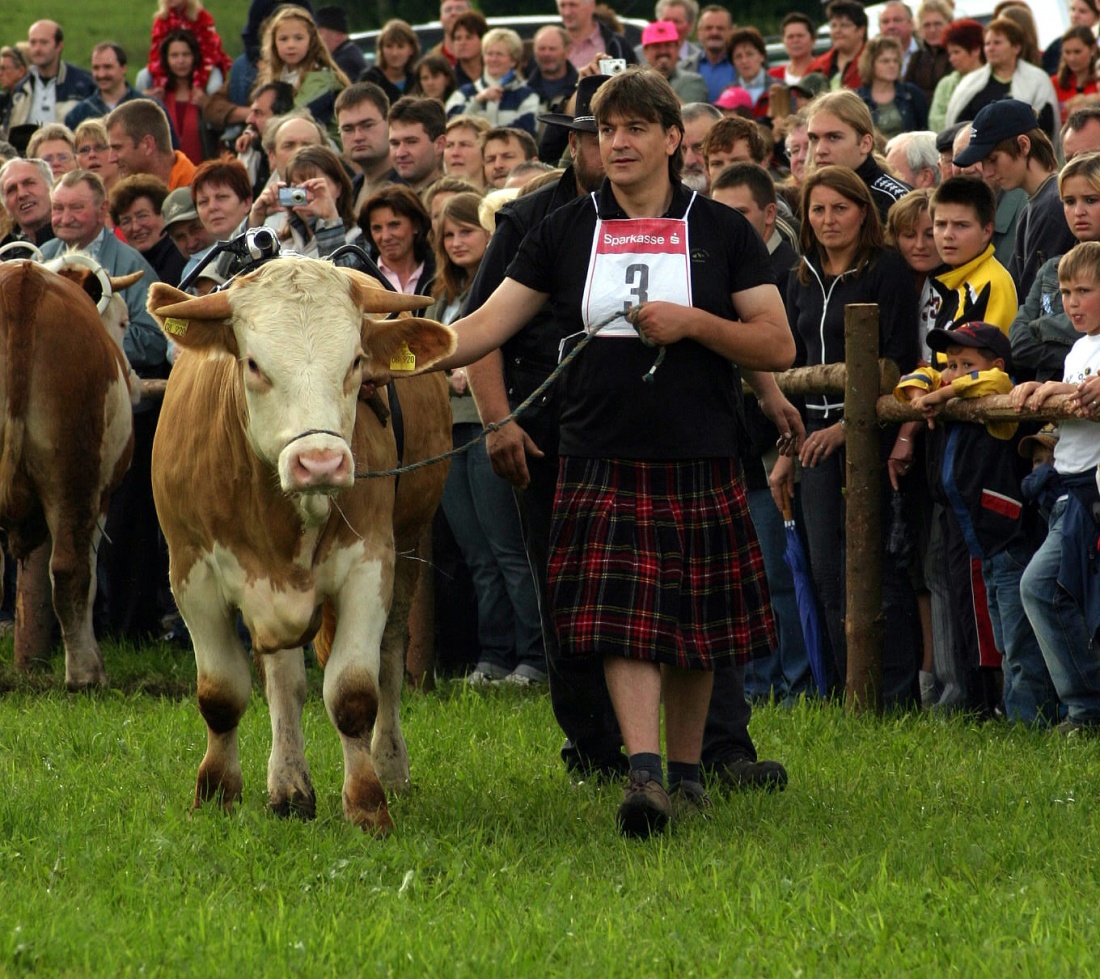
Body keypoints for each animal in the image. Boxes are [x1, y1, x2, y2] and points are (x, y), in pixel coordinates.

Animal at [0, 259, 136, 686]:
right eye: (123, 321)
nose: (135, 376)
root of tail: (22, 282)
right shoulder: (101, 497)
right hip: (76, 478)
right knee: (68, 570)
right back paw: (84, 674)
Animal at [148, 257, 453, 831]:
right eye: (253, 364)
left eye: (356, 361)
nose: (320, 463)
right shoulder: (190, 574)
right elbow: (222, 694)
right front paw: (216, 793)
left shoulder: (370, 565)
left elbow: (354, 693)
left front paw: (367, 803)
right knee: (284, 682)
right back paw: (289, 786)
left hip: (410, 545)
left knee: (389, 660)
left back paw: (389, 766)